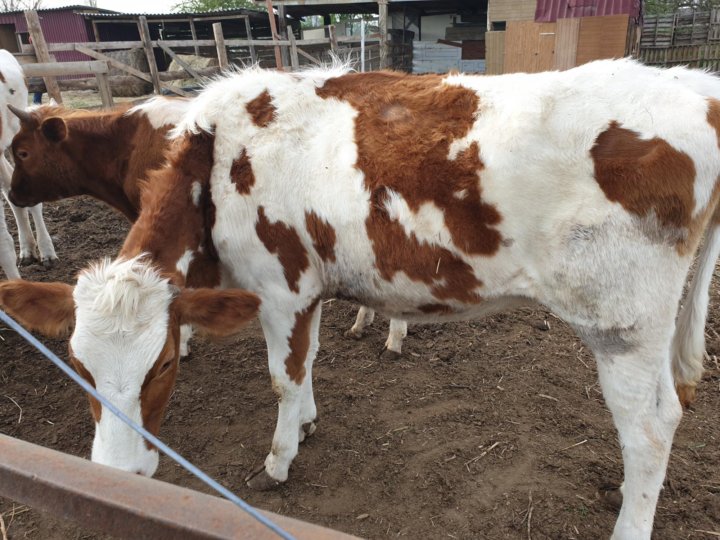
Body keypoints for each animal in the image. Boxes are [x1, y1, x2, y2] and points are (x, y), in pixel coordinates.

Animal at [2, 60, 716, 540]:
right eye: (79, 369)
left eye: (165, 364)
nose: (113, 475)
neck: (218, 157)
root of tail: (695, 86)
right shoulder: (308, 287)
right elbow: (307, 363)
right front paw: (308, 422)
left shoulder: (280, 285)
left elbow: (283, 376)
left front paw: (280, 458)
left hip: (623, 323)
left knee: (651, 425)